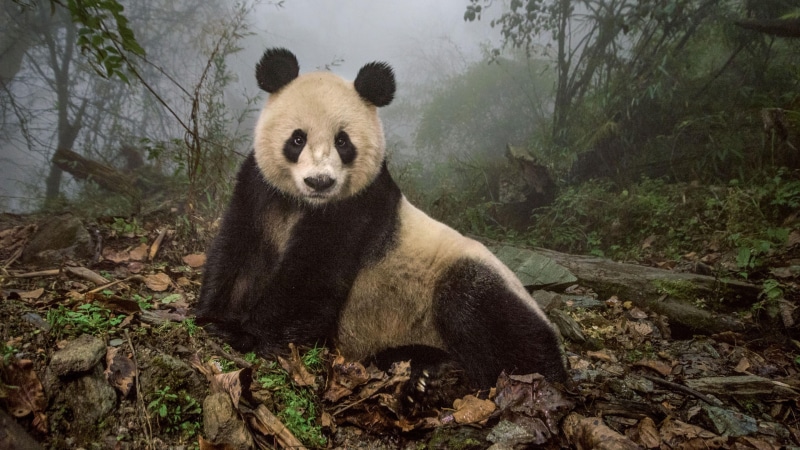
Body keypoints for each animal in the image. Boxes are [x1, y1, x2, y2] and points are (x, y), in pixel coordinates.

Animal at [196, 48, 567, 407]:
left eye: (343, 142)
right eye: (297, 139)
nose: (320, 182)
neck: (304, 204)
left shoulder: (357, 207)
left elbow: (311, 279)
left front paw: (246, 334)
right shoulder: (259, 190)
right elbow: (237, 251)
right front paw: (213, 317)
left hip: (469, 280)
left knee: (488, 318)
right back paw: (424, 372)